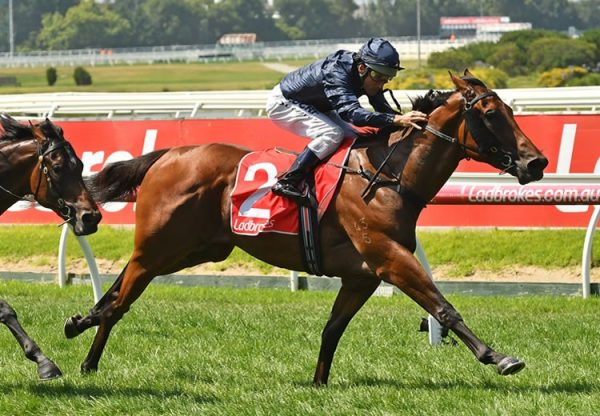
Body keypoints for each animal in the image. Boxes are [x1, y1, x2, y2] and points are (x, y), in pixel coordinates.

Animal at [65, 71, 548, 386]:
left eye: (509, 109)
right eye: (491, 113)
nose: (537, 162)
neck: (389, 175)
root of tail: (168, 155)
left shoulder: (361, 276)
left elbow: (332, 329)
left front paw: (317, 383)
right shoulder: (390, 259)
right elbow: (443, 307)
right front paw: (498, 356)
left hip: (193, 250)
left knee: (118, 290)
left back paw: (81, 329)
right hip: (160, 247)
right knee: (120, 301)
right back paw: (87, 348)